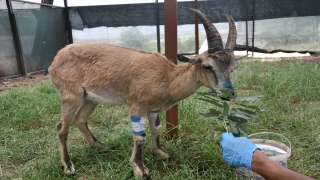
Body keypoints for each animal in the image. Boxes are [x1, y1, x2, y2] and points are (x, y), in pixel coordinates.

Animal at [49, 8, 240, 179]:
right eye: (207, 66)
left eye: (233, 67)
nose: (229, 93)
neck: (168, 78)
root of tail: (56, 60)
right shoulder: (137, 106)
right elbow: (140, 137)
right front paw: (140, 169)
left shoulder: (153, 109)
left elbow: (156, 128)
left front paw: (161, 153)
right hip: (71, 95)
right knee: (62, 127)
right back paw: (68, 166)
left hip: (90, 98)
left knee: (80, 118)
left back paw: (100, 146)